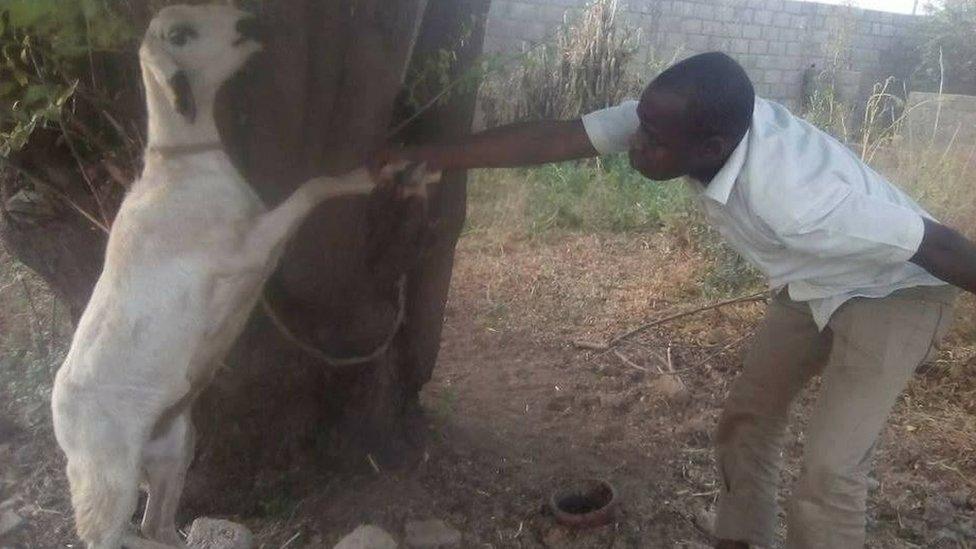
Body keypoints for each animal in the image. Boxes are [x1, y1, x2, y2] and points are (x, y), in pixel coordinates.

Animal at [49, 5, 424, 548]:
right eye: (180, 33)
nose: (251, 19)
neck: (180, 166)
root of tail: (59, 419)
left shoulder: (260, 248)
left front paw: (404, 175)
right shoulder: (244, 250)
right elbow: (312, 187)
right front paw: (363, 177)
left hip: (174, 445)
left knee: (156, 524)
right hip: (105, 480)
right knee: (108, 532)